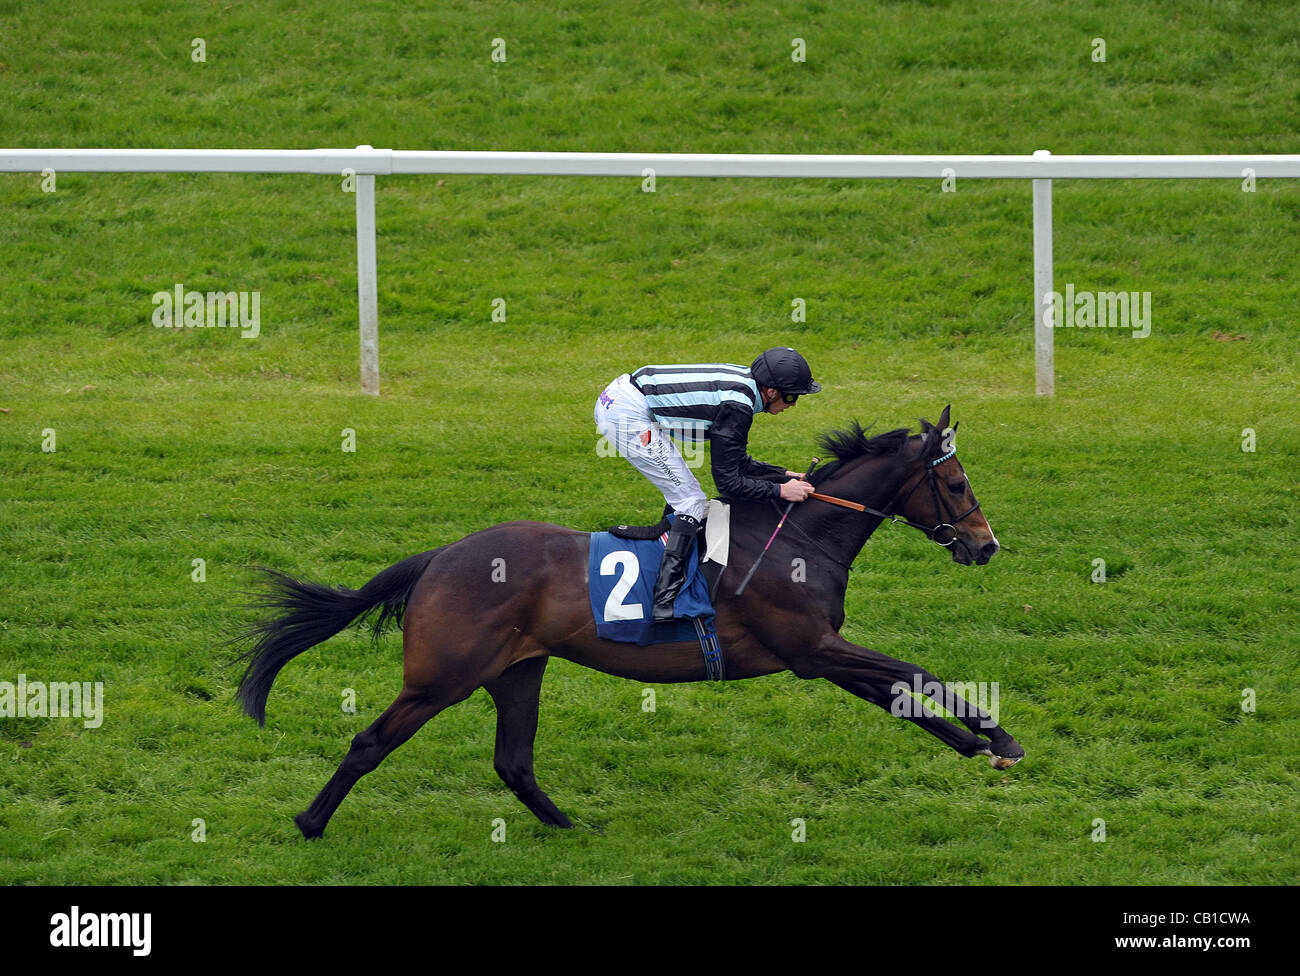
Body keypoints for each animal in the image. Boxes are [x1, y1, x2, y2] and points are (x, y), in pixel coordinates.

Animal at [236, 405, 1024, 842]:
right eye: (957, 484)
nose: (985, 546)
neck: (798, 537)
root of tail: (438, 557)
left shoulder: (816, 654)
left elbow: (897, 696)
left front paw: (975, 745)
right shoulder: (812, 645)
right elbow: (915, 672)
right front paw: (1001, 738)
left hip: (518, 671)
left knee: (513, 761)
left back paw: (571, 828)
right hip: (442, 679)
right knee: (370, 742)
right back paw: (310, 823)